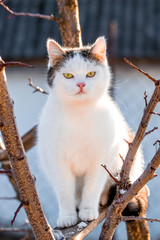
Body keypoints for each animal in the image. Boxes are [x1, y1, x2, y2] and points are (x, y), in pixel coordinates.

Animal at [37, 37, 144, 229]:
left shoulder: (100, 160)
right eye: (68, 76)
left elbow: (92, 187)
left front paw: (88, 210)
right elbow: (64, 191)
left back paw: (102, 199)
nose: (81, 84)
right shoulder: (57, 161)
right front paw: (67, 216)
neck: (79, 114)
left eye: (91, 74)